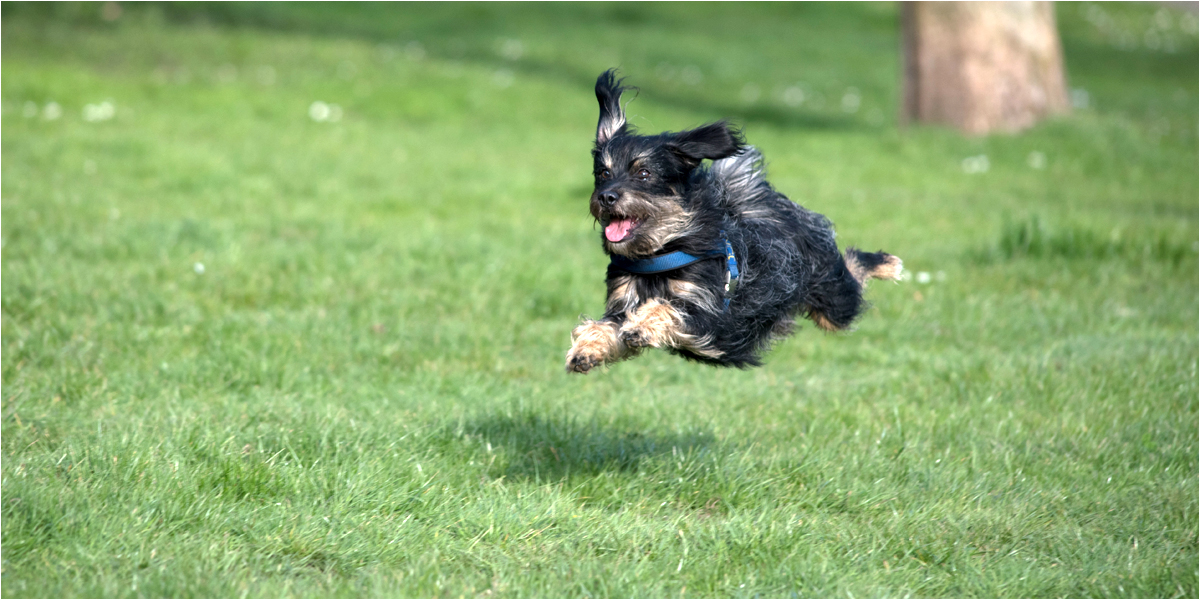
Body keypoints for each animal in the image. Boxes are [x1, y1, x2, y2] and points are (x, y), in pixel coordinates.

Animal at [564, 69, 902, 369]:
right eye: (603, 173)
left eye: (644, 173)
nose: (606, 197)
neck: (662, 253)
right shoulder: (622, 304)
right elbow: (606, 325)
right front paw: (587, 349)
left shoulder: (715, 318)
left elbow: (665, 308)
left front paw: (640, 325)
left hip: (831, 300)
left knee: (853, 272)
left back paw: (885, 263)